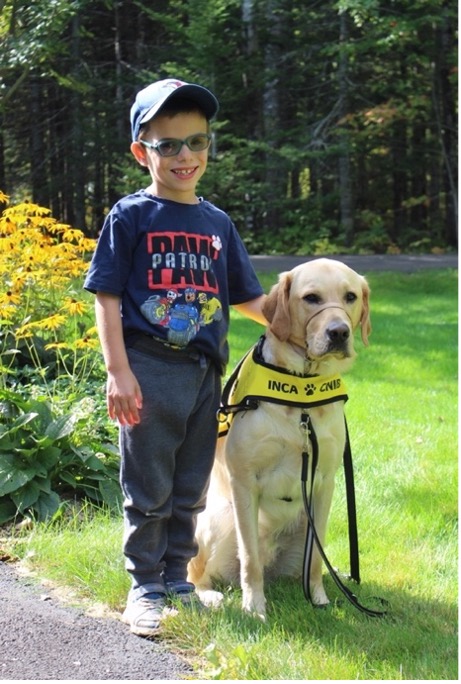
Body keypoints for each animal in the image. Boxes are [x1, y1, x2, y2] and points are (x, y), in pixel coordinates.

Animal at [187, 258, 370, 620]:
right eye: (311, 298)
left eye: (350, 296)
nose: (339, 332)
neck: (302, 391)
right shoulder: (244, 480)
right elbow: (250, 559)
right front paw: (254, 606)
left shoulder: (324, 482)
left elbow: (316, 561)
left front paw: (319, 599)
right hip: (219, 517)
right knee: (196, 573)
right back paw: (209, 595)